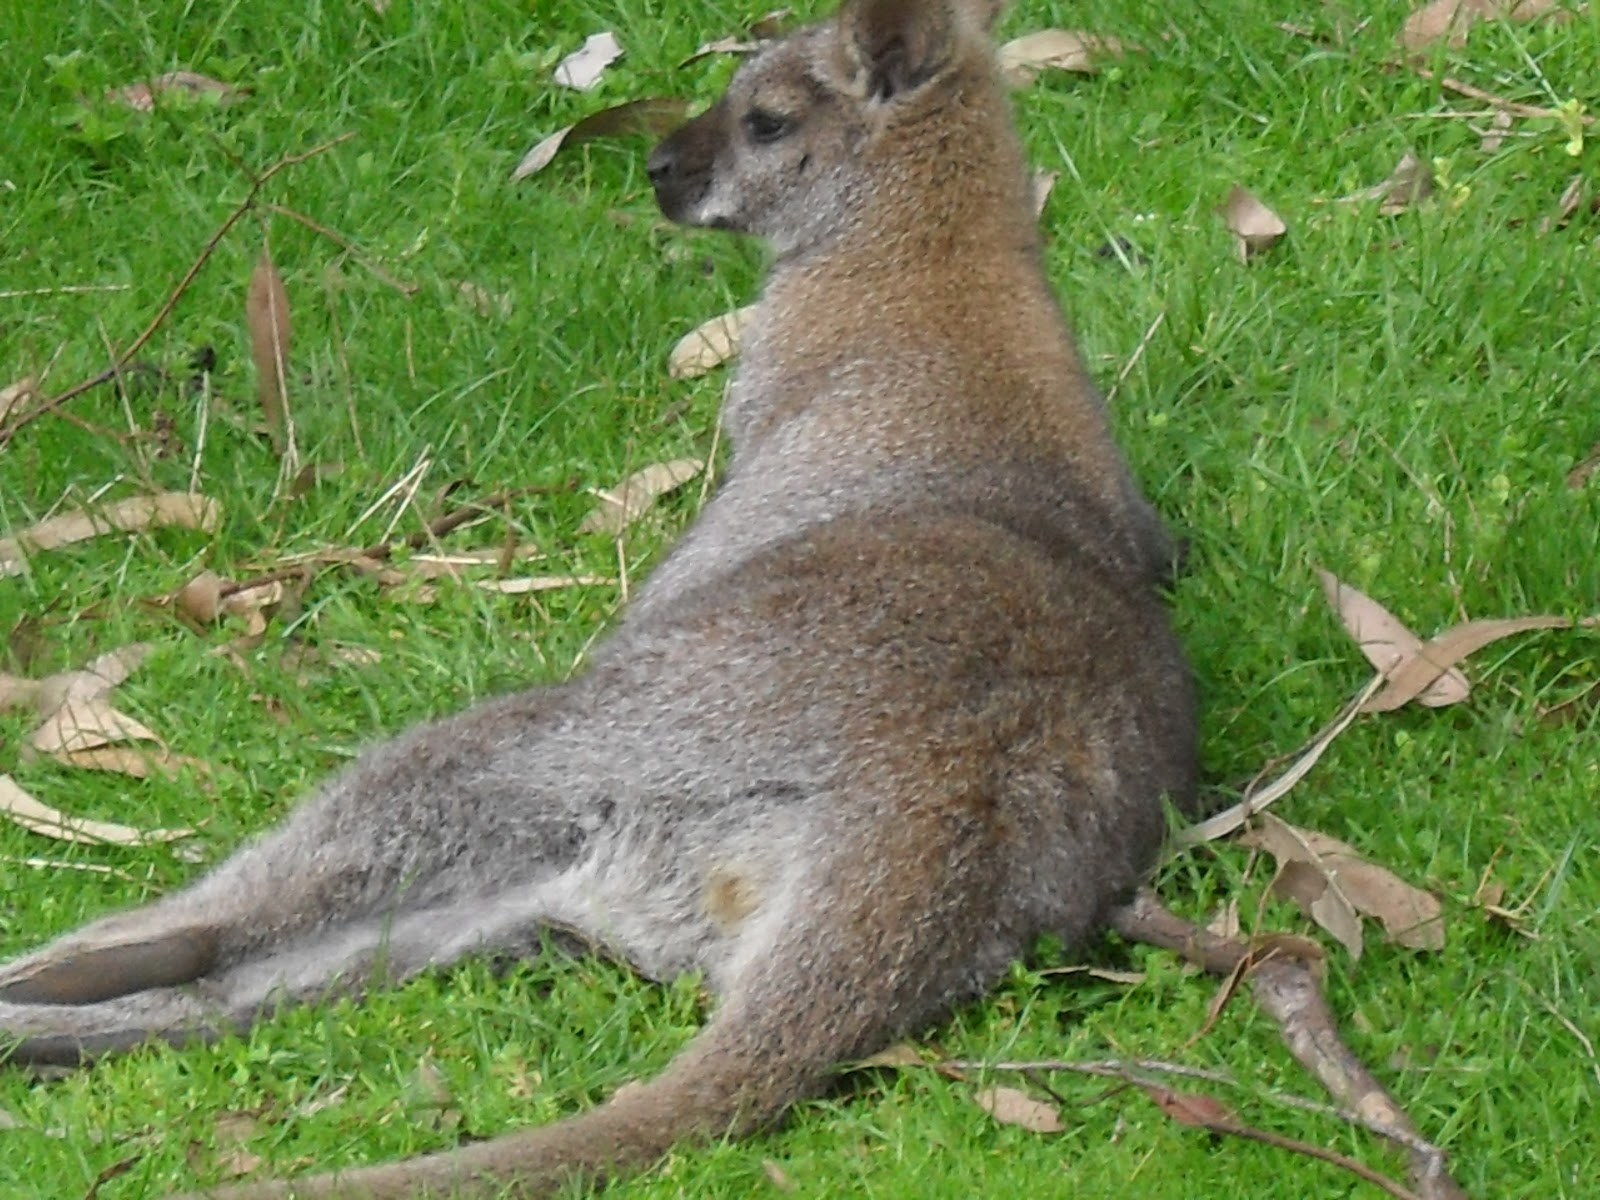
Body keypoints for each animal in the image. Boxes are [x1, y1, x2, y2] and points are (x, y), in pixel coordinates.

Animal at [0, 0, 1197, 1196]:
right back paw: (44, 1036)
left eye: (765, 120)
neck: (928, 246)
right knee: (283, 975)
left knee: (251, 916)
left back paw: (44, 978)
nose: (659, 170)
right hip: (585, 884)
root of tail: (941, 819)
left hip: (569, 746)